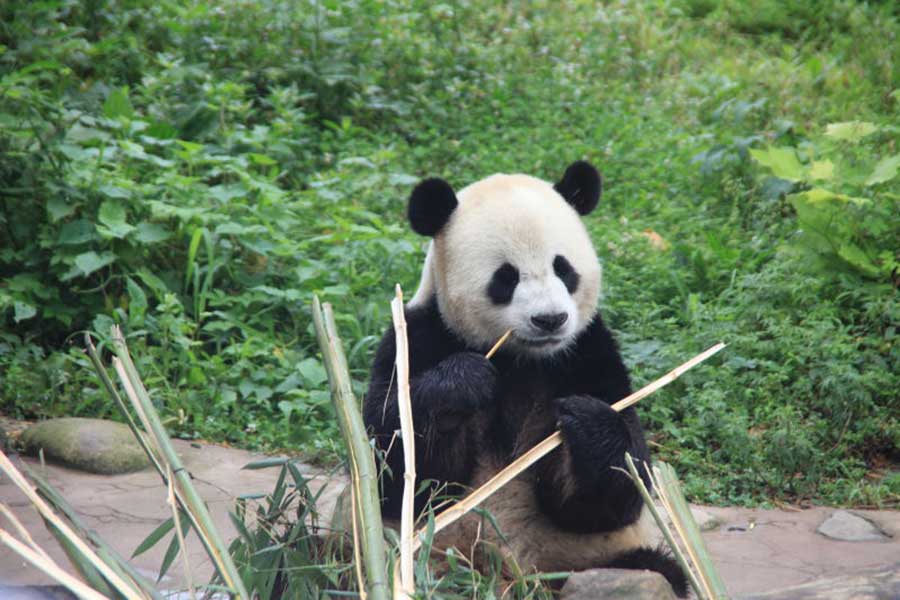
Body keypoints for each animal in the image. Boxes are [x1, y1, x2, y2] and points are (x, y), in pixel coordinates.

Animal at [363, 161, 688, 597]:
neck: (521, 360)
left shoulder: (588, 353)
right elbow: (398, 472)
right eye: (506, 277)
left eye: (563, 268)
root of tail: (513, 577)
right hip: (425, 556)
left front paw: (587, 421)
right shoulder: (417, 336)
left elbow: (612, 494)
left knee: (654, 569)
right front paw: (462, 383)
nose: (550, 319)